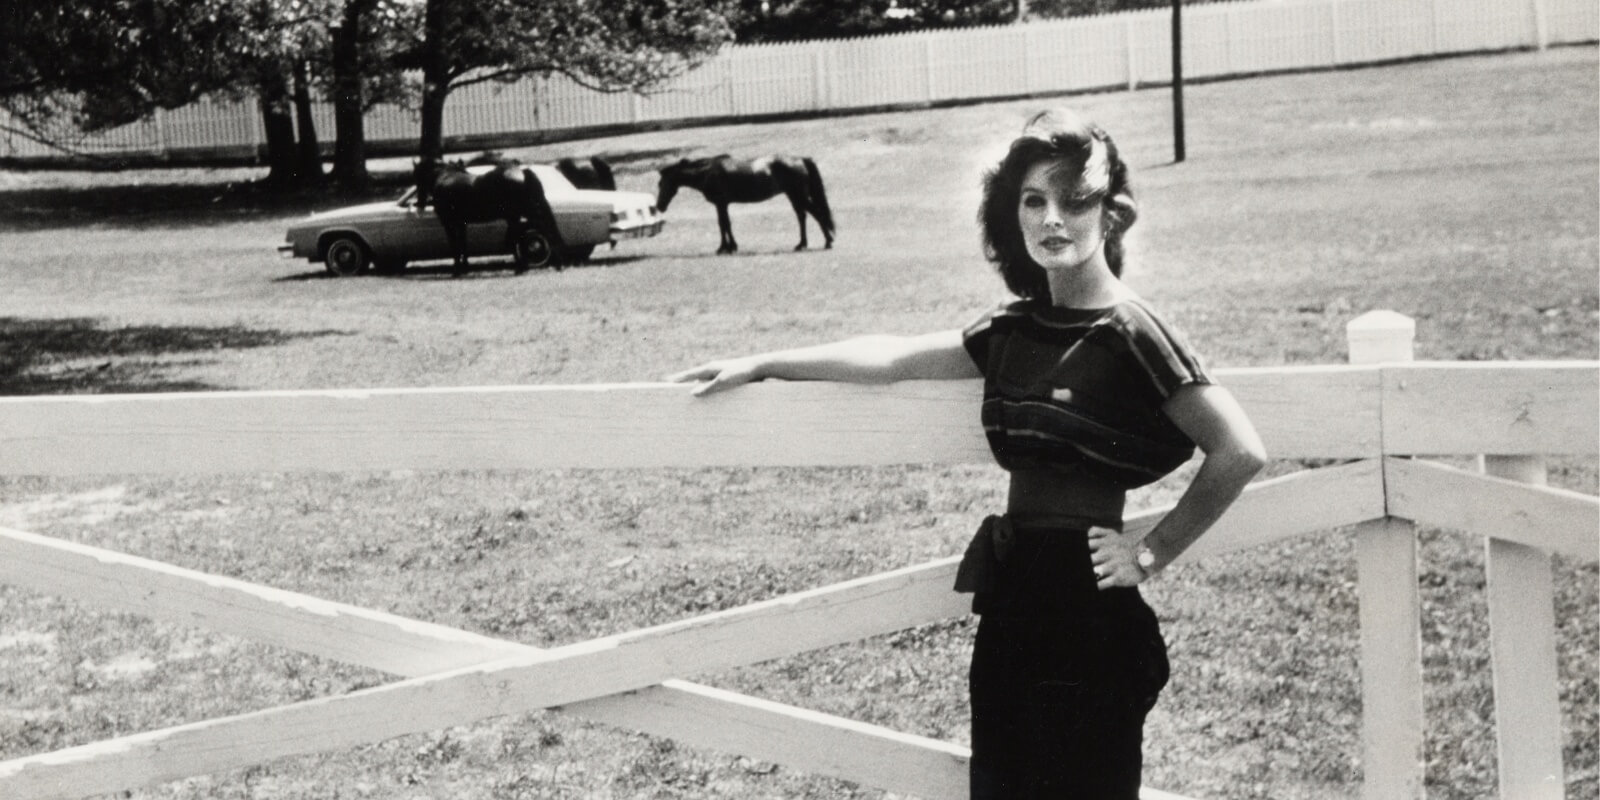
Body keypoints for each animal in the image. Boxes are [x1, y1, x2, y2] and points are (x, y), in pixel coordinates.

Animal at [409, 157, 566, 276]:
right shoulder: (461, 223)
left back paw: (522, 268)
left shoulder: (449, 223)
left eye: (416, 175)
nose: (419, 203)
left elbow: (455, 246)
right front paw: (465, 268)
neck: (444, 177)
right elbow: (463, 245)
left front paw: (457, 270)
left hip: (521, 215)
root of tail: (522, 172)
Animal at [656, 154, 838, 254]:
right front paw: (730, 247)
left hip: (799, 196)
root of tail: (800, 159)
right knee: (802, 216)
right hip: (794, 196)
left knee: (817, 214)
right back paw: (802, 244)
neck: (708, 172)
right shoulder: (723, 205)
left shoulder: (720, 203)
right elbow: (725, 224)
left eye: (661, 184)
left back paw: (828, 242)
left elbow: (723, 224)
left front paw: (725, 248)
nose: (659, 206)